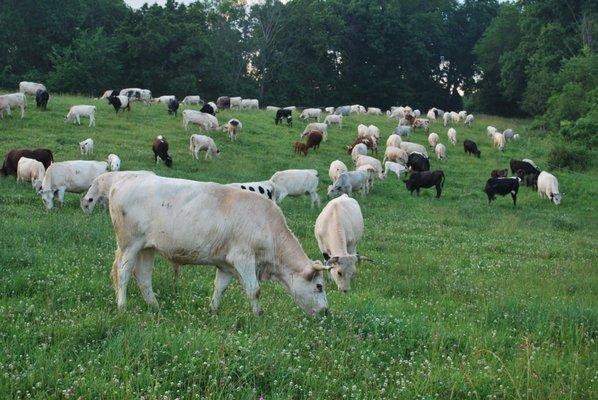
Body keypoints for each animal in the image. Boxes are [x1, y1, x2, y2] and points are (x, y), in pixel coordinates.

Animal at [109, 175, 330, 316]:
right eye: (319, 286)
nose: (326, 312)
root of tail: (122, 182)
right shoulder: (243, 257)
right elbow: (254, 290)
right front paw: (258, 315)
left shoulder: (225, 264)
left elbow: (220, 288)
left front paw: (213, 311)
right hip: (130, 244)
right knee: (123, 273)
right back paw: (122, 306)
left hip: (147, 248)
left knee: (144, 276)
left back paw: (154, 306)